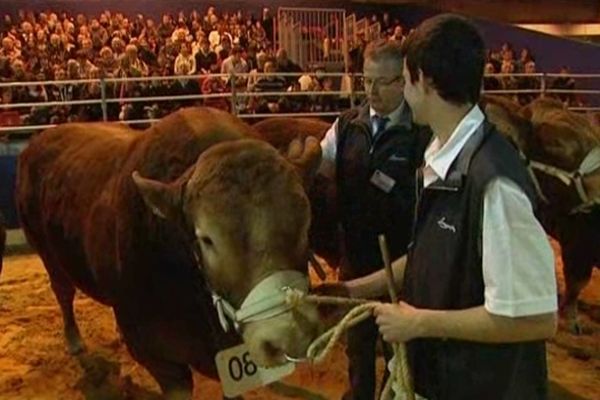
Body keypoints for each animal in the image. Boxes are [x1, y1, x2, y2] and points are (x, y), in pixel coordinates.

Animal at [15, 106, 324, 396]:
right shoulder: (157, 357)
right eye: (207, 238)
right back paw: (74, 339)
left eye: (305, 223)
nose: (285, 334)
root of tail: (36, 144)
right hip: (46, 251)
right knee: (63, 292)